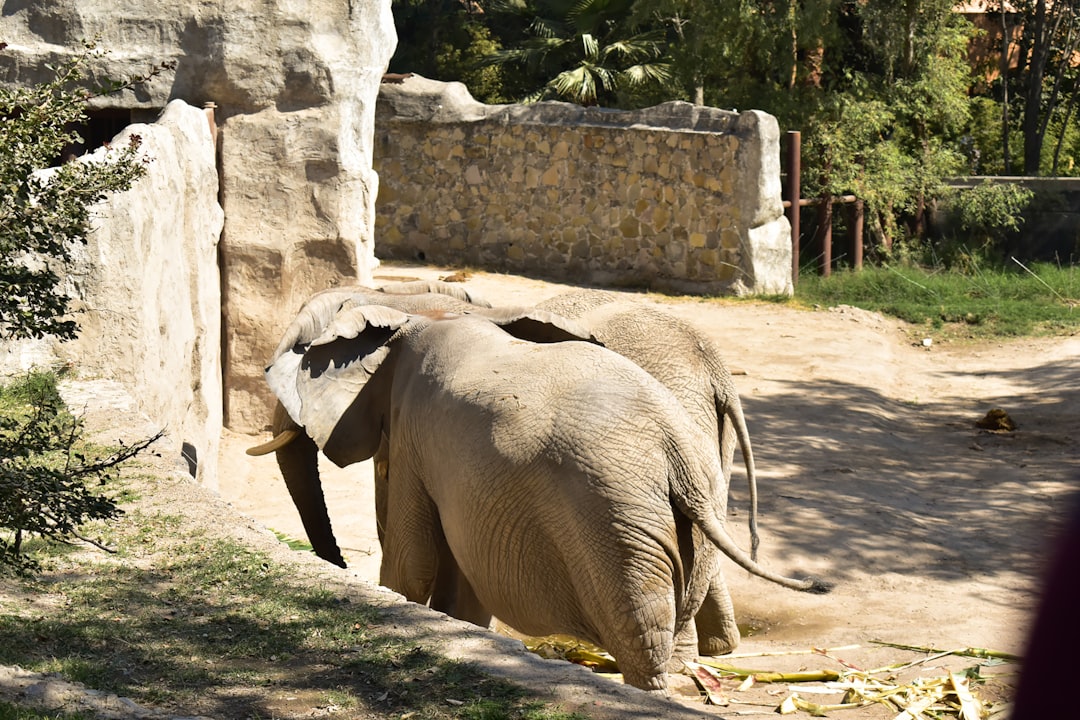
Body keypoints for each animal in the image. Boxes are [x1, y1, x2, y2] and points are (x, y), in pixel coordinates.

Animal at [263, 298, 828, 691]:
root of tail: (677, 455)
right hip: (691, 508)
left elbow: (412, 560)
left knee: (640, 630)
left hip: (613, 528)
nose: (338, 565)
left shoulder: (413, 434)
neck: (413, 315)